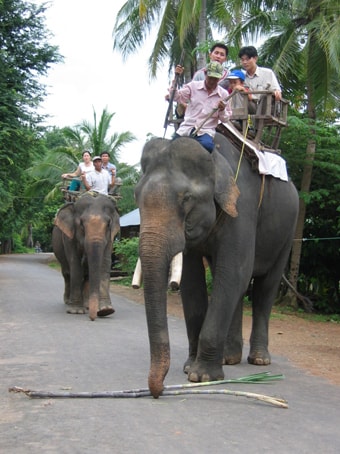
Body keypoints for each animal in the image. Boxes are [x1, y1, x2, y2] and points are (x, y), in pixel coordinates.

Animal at [134, 134, 298, 398]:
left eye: (187, 198)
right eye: (136, 196)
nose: (158, 390)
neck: (214, 157)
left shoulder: (241, 209)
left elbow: (234, 271)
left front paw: (201, 377)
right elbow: (193, 281)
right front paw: (190, 367)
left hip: (288, 232)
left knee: (265, 287)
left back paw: (259, 360)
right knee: (239, 291)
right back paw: (229, 358)